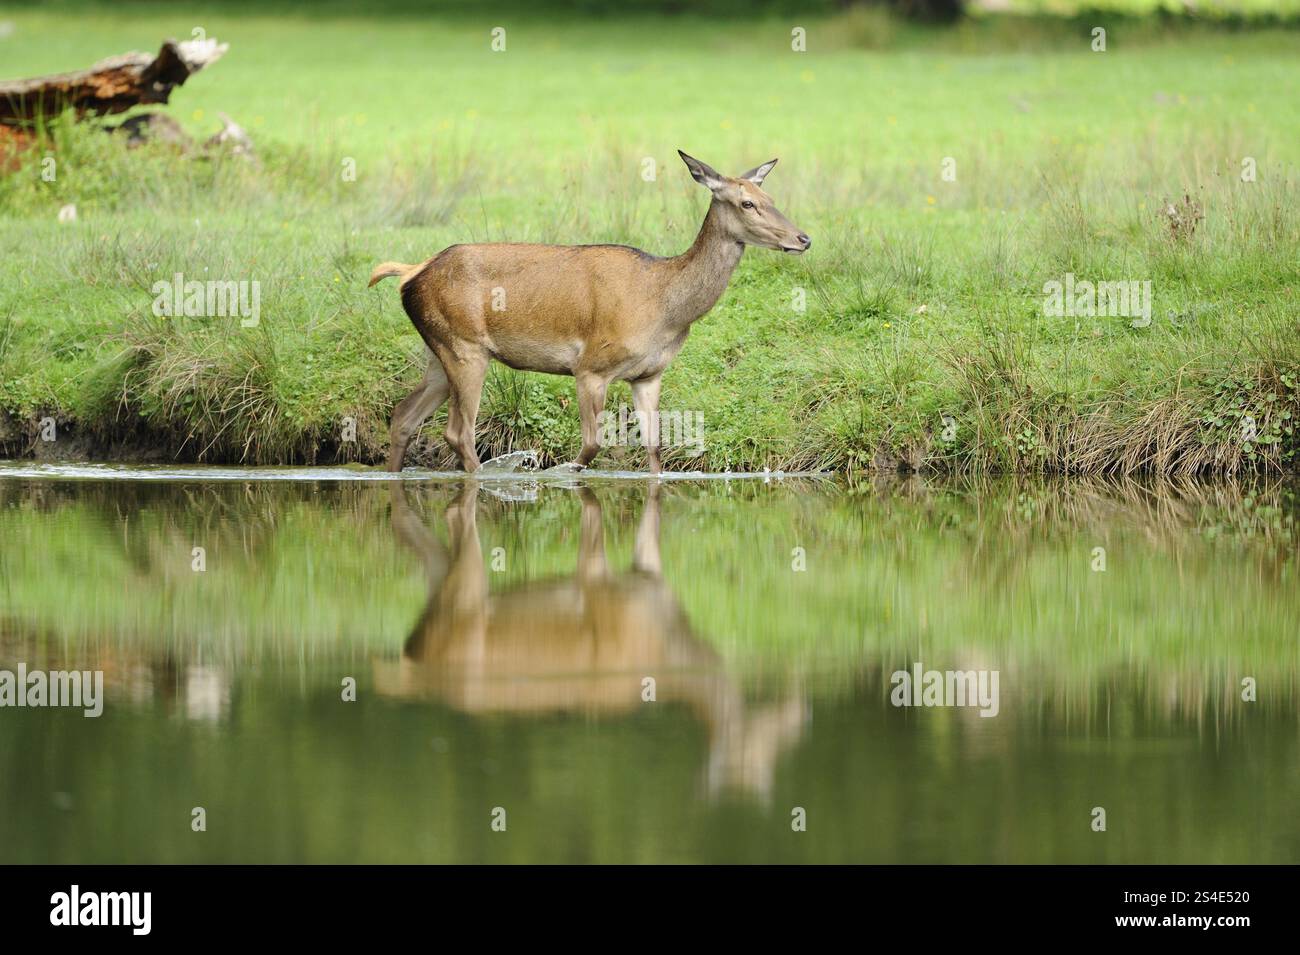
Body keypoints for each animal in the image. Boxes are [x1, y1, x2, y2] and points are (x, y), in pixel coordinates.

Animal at [369, 151, 811, 473]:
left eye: (772, 200)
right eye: (747, 203)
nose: (803, 238)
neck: (664, 306)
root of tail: (411, 274)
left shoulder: (649, 374)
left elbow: (655, 450)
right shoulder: (591, 366)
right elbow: (590, 446)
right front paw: (559, 474)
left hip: (439, 351)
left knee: (403, 416)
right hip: (466, 347)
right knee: (458, 432)